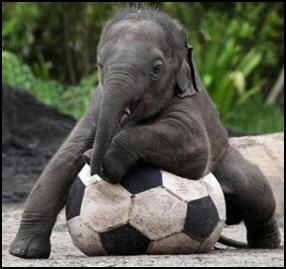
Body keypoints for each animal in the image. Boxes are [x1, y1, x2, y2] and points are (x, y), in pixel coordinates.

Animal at [10, 6, 280, 258]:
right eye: (100, 65)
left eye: (157, 69)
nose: (94, 165)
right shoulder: (97, 103)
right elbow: (66, 156)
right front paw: (24, 252)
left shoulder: (188, 102)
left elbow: (196, 151)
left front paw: (103, 160)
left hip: (228, 160)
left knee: (252, 188)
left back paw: (267, 243)